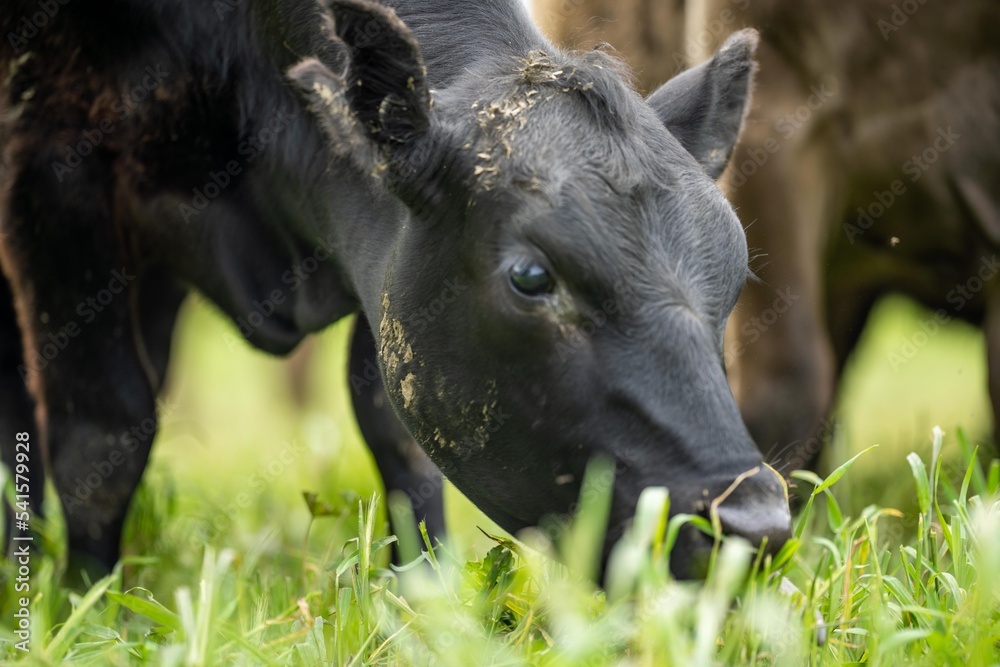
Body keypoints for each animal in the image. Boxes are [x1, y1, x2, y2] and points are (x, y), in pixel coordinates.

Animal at [0, 0, 790, 581]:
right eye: (531, 277)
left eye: (734, 272)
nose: (754, 523)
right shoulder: (53, 171)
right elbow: (103, 434)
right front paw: (90, 605)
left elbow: (394, 431)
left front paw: (422, 594)